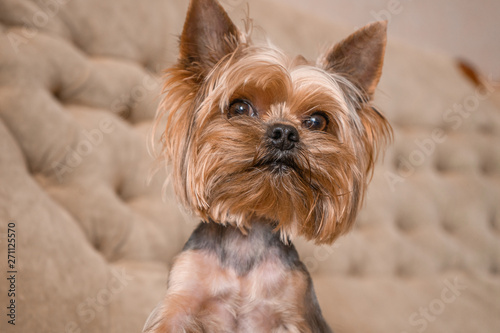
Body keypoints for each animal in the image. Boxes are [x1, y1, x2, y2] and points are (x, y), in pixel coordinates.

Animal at [145, 0, 390, 330]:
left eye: (317, 121)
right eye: (239, 107)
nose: (285, 133)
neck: (247, 239)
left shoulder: (294, 310)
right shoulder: (182, 299)